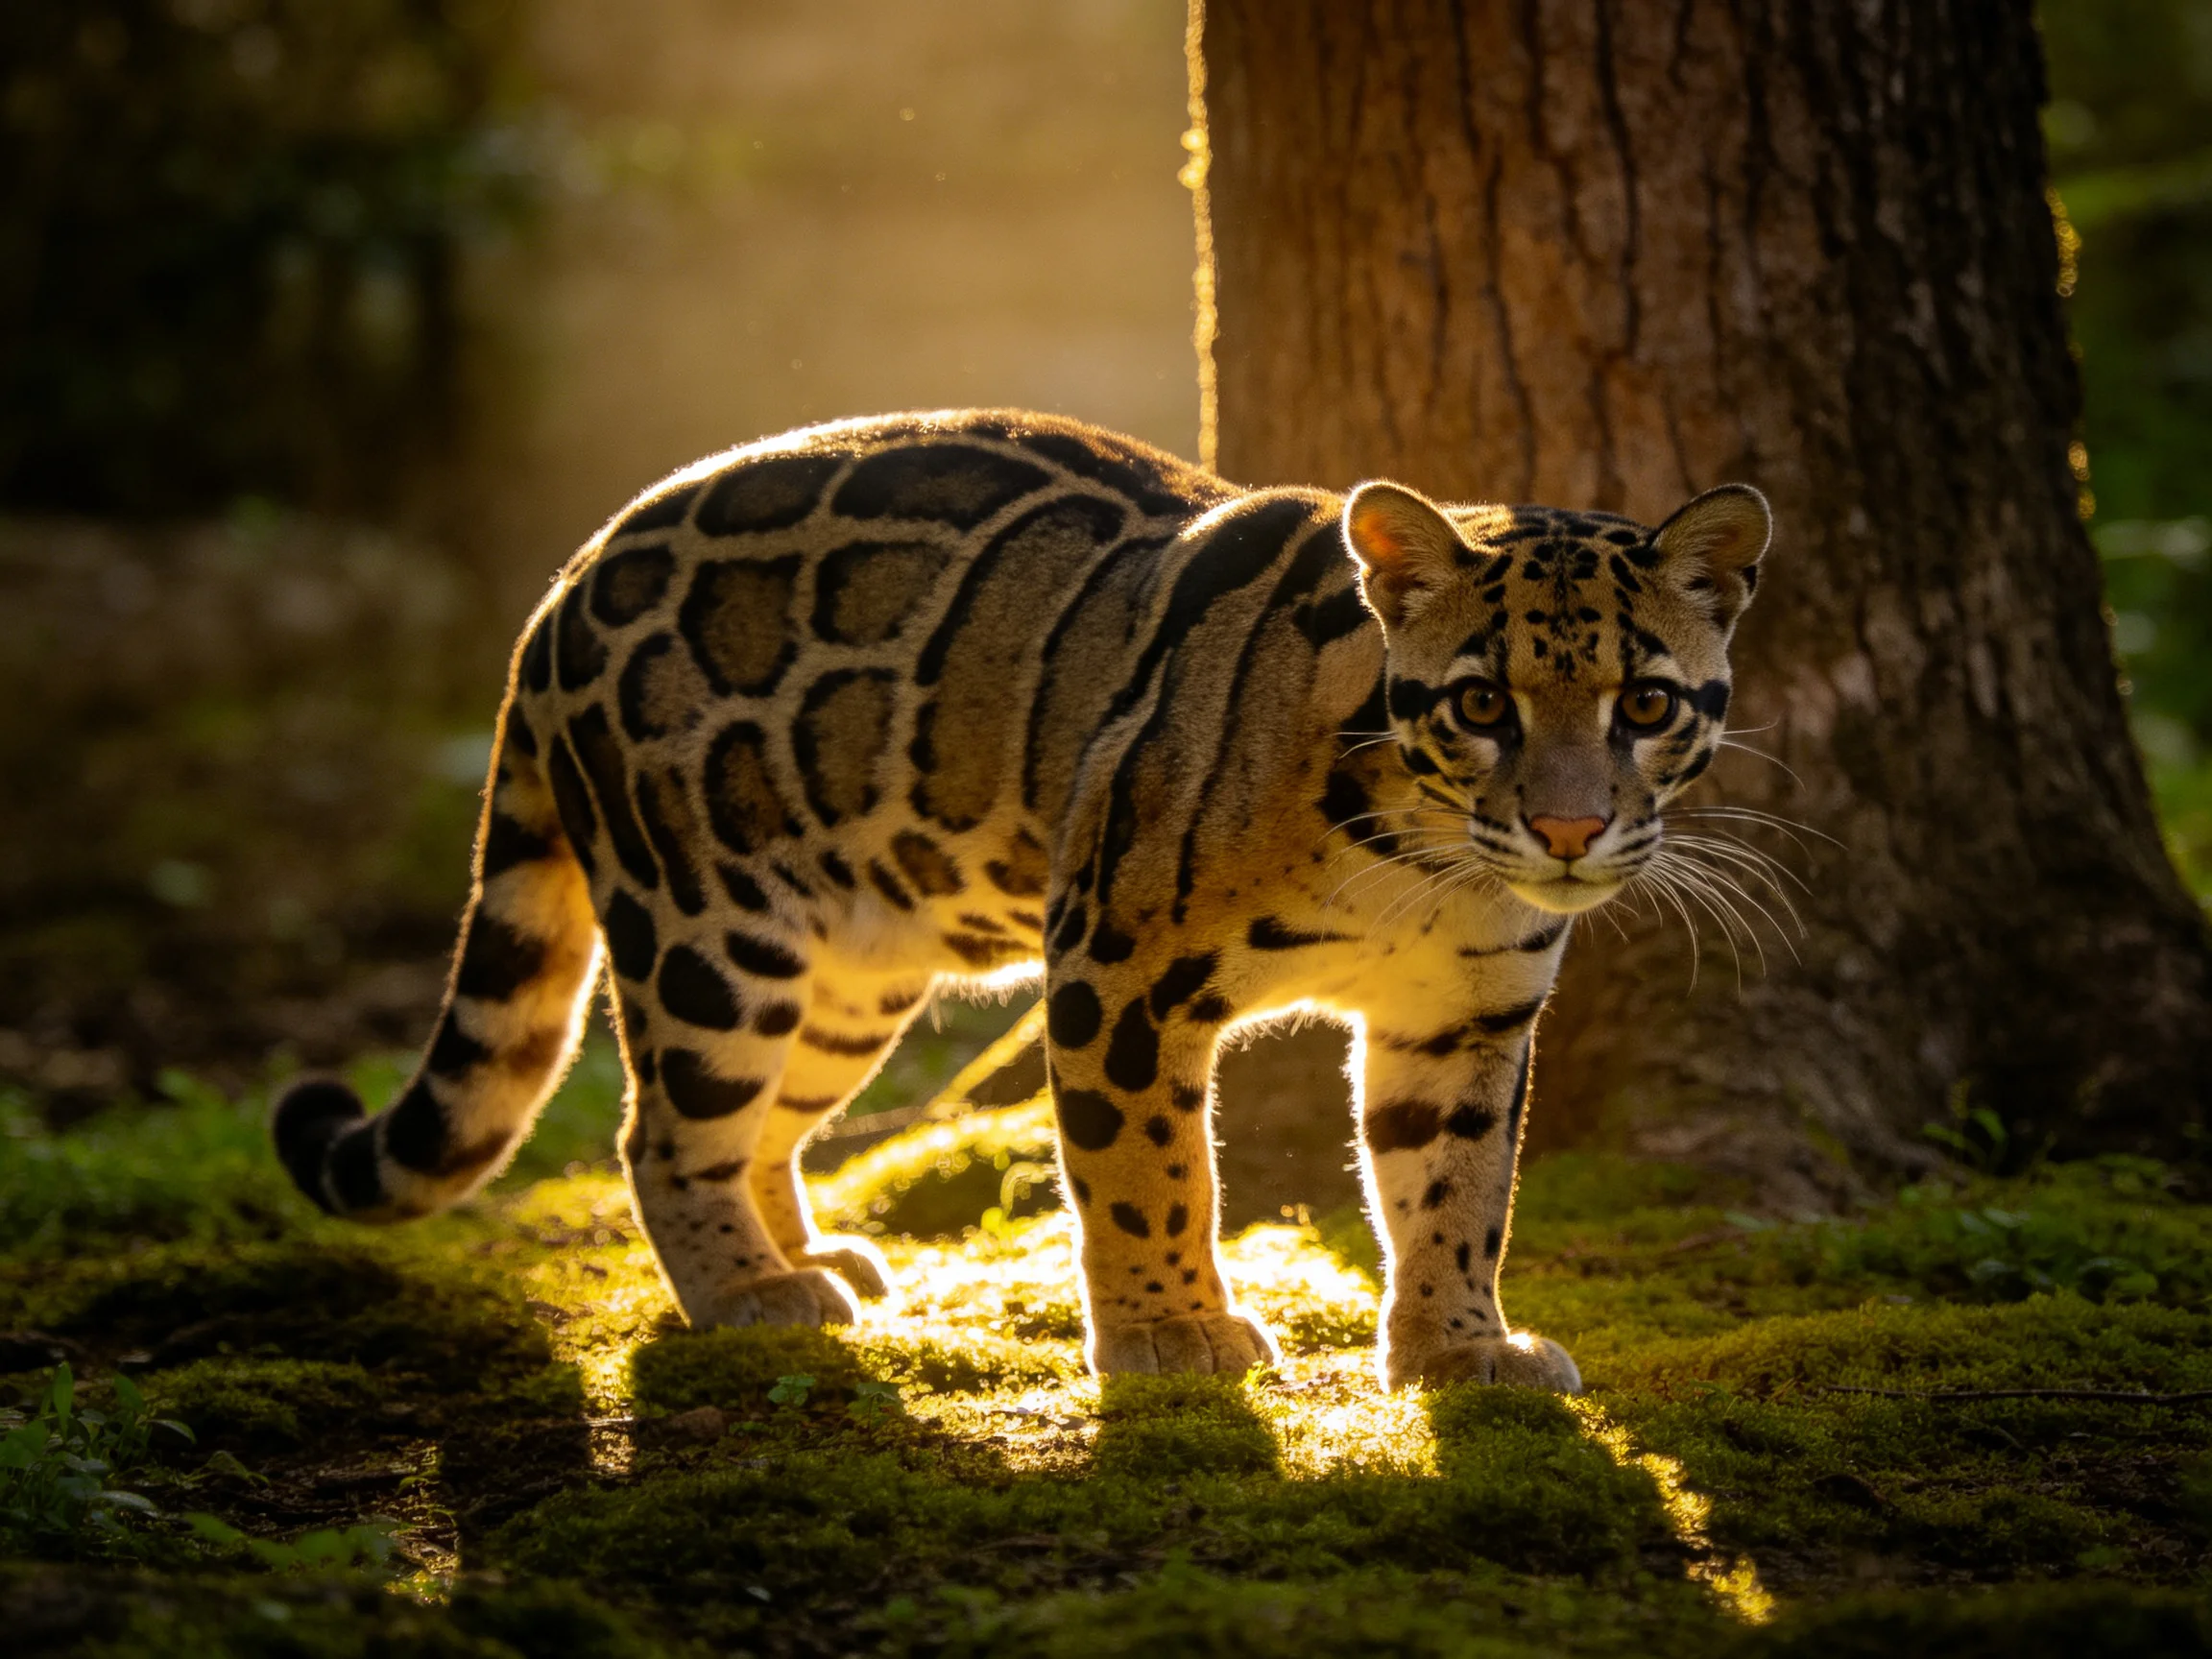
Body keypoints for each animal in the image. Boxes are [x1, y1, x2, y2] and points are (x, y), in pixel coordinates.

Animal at [273, 409, 1769, 1391]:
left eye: (1645, 705)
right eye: (1480, 705)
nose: (1569, 829)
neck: (1424, 862)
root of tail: (562, 585)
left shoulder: (1464, 1016)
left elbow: (1457, 1187)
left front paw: (1461, 1346)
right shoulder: (1119, 966)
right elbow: (1146, 1172)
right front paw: (1173, 1334)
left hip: (852, 975)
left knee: (769, 1123)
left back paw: (813, 1254)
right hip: (714, 936)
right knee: (661, 1130)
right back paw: (749, 1289)